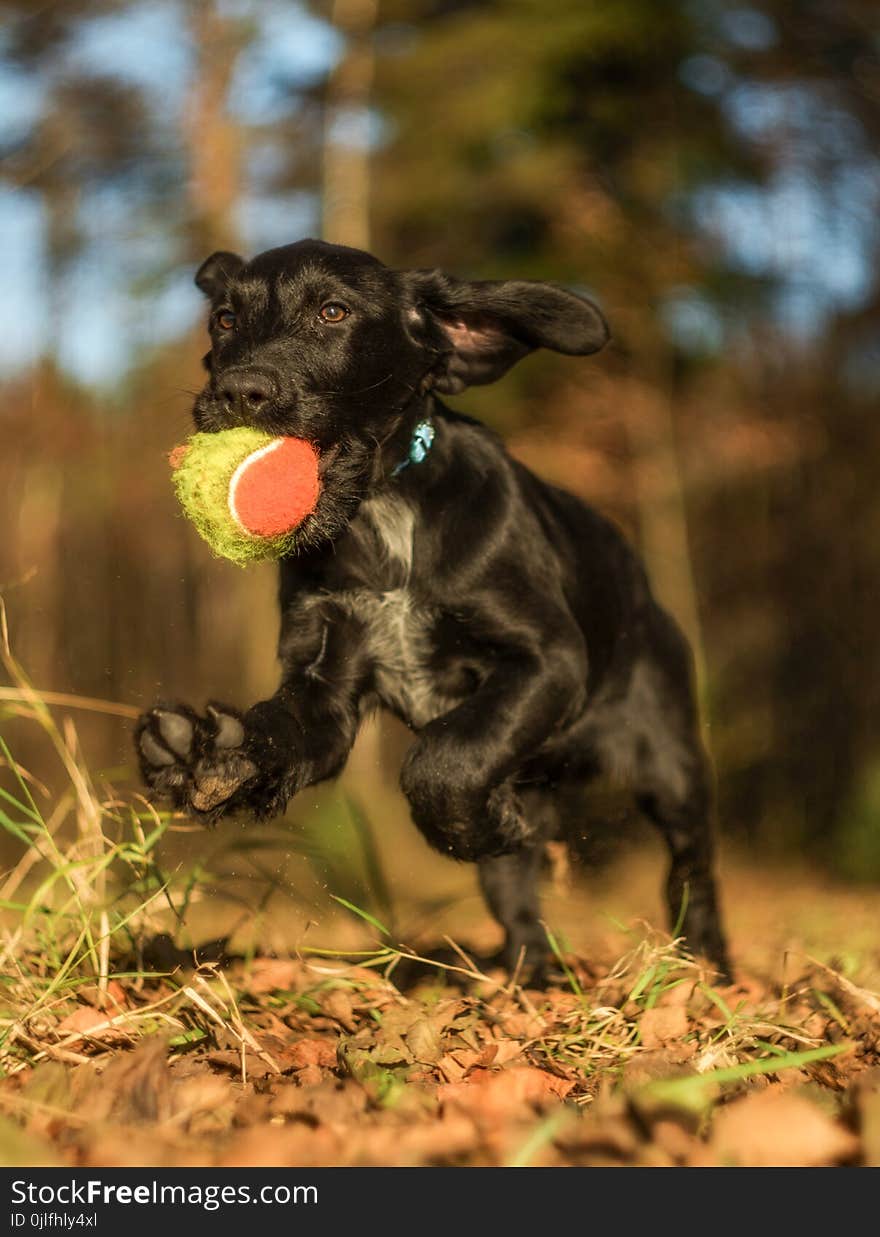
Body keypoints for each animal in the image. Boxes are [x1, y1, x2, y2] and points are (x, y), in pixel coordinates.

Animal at [136, 238, 727, 974]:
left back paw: (709, 966)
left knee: (692, 870)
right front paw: (216, 754)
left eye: (333, 312)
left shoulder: (548, 656)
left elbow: (443, 761)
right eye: (223, 319)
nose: (238, 390)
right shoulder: (326, 684)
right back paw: (531, 976)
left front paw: (477, 821)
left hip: (672, 761)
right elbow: (291, 728)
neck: (380, 512)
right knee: (517, 896)